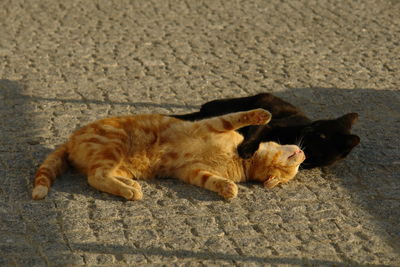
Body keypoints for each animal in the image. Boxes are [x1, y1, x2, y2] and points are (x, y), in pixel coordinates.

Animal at [32, 109, 304, 201]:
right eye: (293, 161)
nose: (302, 152)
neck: (240, 160)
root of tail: (70, 139)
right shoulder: (213, 124)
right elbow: (239, 116)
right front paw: (262, 115)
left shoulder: (192, 172)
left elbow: (213, 181)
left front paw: (228, 189)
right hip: (114, 144)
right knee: (95, 176)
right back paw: (129, 191)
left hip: (119, 162)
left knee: (97, 175)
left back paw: (130, 186)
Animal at [173, 93, 360, 170]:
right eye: (316, 123)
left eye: (321, 134)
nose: (308, 128)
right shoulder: (269, 124)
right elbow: (256, 134)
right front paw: (246, 150)